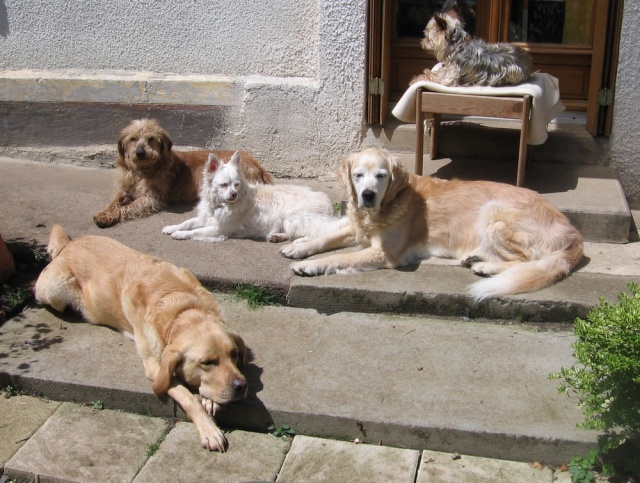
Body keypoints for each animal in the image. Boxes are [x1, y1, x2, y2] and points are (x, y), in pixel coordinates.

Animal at [35, 225, 248, 452]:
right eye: (206, 362)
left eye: (234, 354)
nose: (241, 386)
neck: (182, 309)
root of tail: (68, 244)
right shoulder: (156, 368)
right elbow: (188, 396)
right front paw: (209, 430)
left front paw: (211, 400)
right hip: (53, 290)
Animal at [92, 118, 272, 229]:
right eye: (133, 139)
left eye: (151, 138)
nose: (140, 152)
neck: (143, 171)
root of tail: (257, 164)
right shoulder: (125, 189)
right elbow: (114, 202)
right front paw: (103, 213)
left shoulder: (151, 198)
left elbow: (127, 207)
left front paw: (107, 218)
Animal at [162, 151, 348, 242]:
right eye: (224, 185)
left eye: (236, 184)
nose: (234, 194)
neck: (220, 205)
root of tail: (328, 203)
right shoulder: (206, 217)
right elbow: (187, 222)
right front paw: (172, 228)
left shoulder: (220, 229)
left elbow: (196, 231)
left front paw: (180, 234)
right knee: (293, 233)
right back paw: (276, 237)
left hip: (294, 217)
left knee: (317, 233)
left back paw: (300, 243)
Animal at [282, 147, 584, 300]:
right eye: (357, 175)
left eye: (381, 175)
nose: (367, 195)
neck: (380, 210)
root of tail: (574, 232)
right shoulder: (360, 230)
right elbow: (327, 238)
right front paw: (299, 247)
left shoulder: (385, 253)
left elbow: (339, 257)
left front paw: (310, 265)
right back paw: (476, 258)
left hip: (495, 213)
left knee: (528, 261)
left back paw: (486, 267)